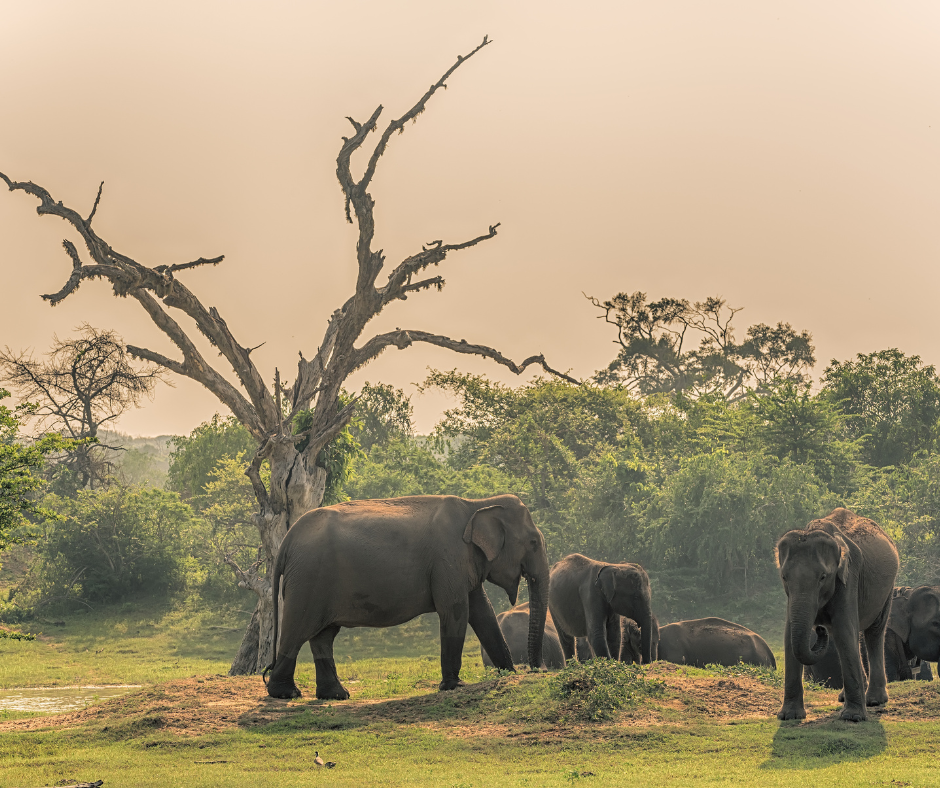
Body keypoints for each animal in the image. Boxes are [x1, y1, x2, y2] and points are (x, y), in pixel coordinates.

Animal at [262, 496, 552, 700]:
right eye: (534, 542)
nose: (539, 670)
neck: (477, 504)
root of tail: (286, 541)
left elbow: (483, 612)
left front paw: (509, 674)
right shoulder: (449, 559)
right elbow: (455, 610)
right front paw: (454, 686)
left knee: (323, 636)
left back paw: (336, 695)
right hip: (308, 579)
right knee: (298, 629)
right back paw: (286, 693)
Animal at [776, 508, 900, 724]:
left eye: (823, 577)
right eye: (784, 577)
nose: (819, 628)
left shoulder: (849, 577)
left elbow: (844, 630)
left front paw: (853, 717)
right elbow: (789, 635)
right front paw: (789, 716)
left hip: (887, 590)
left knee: (874, 633)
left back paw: (874, 701)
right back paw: (845, 697)